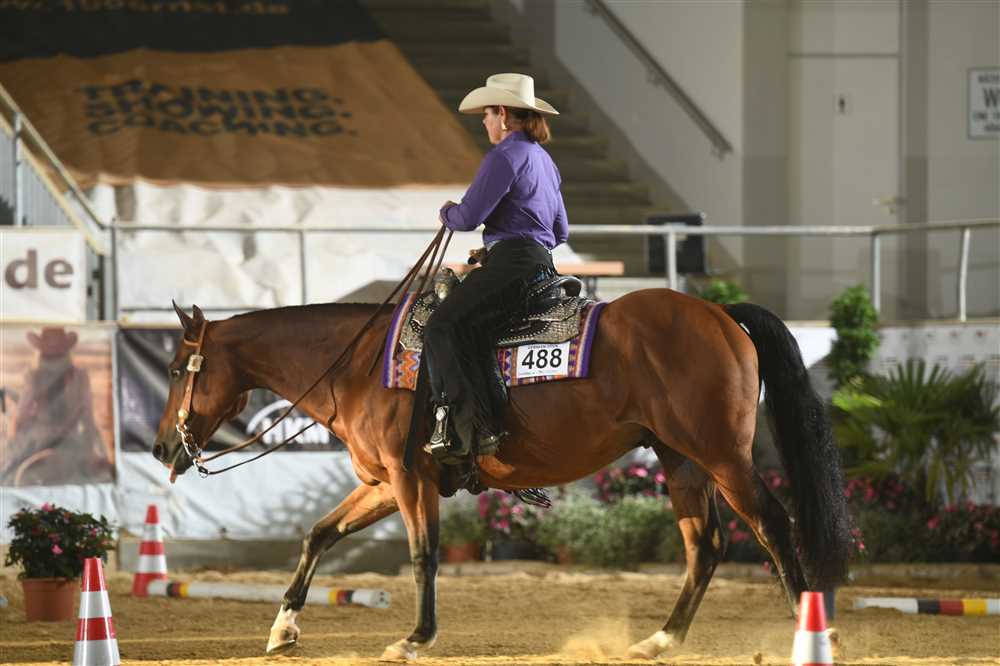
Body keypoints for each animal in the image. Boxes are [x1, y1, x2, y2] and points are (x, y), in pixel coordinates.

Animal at [153, 289, 850, 661]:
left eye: (176, 369)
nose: (161, 447)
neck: (358, 366)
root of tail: (719, 311)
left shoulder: (408, 479)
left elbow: (424, 553)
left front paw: (415, 637)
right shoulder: (382, 483)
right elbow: (319, 534)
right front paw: (282, 628)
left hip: (723, 457)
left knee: (774, 529)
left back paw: (813, 632)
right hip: (680, 461)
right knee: (704, 546)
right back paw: (659, 640)